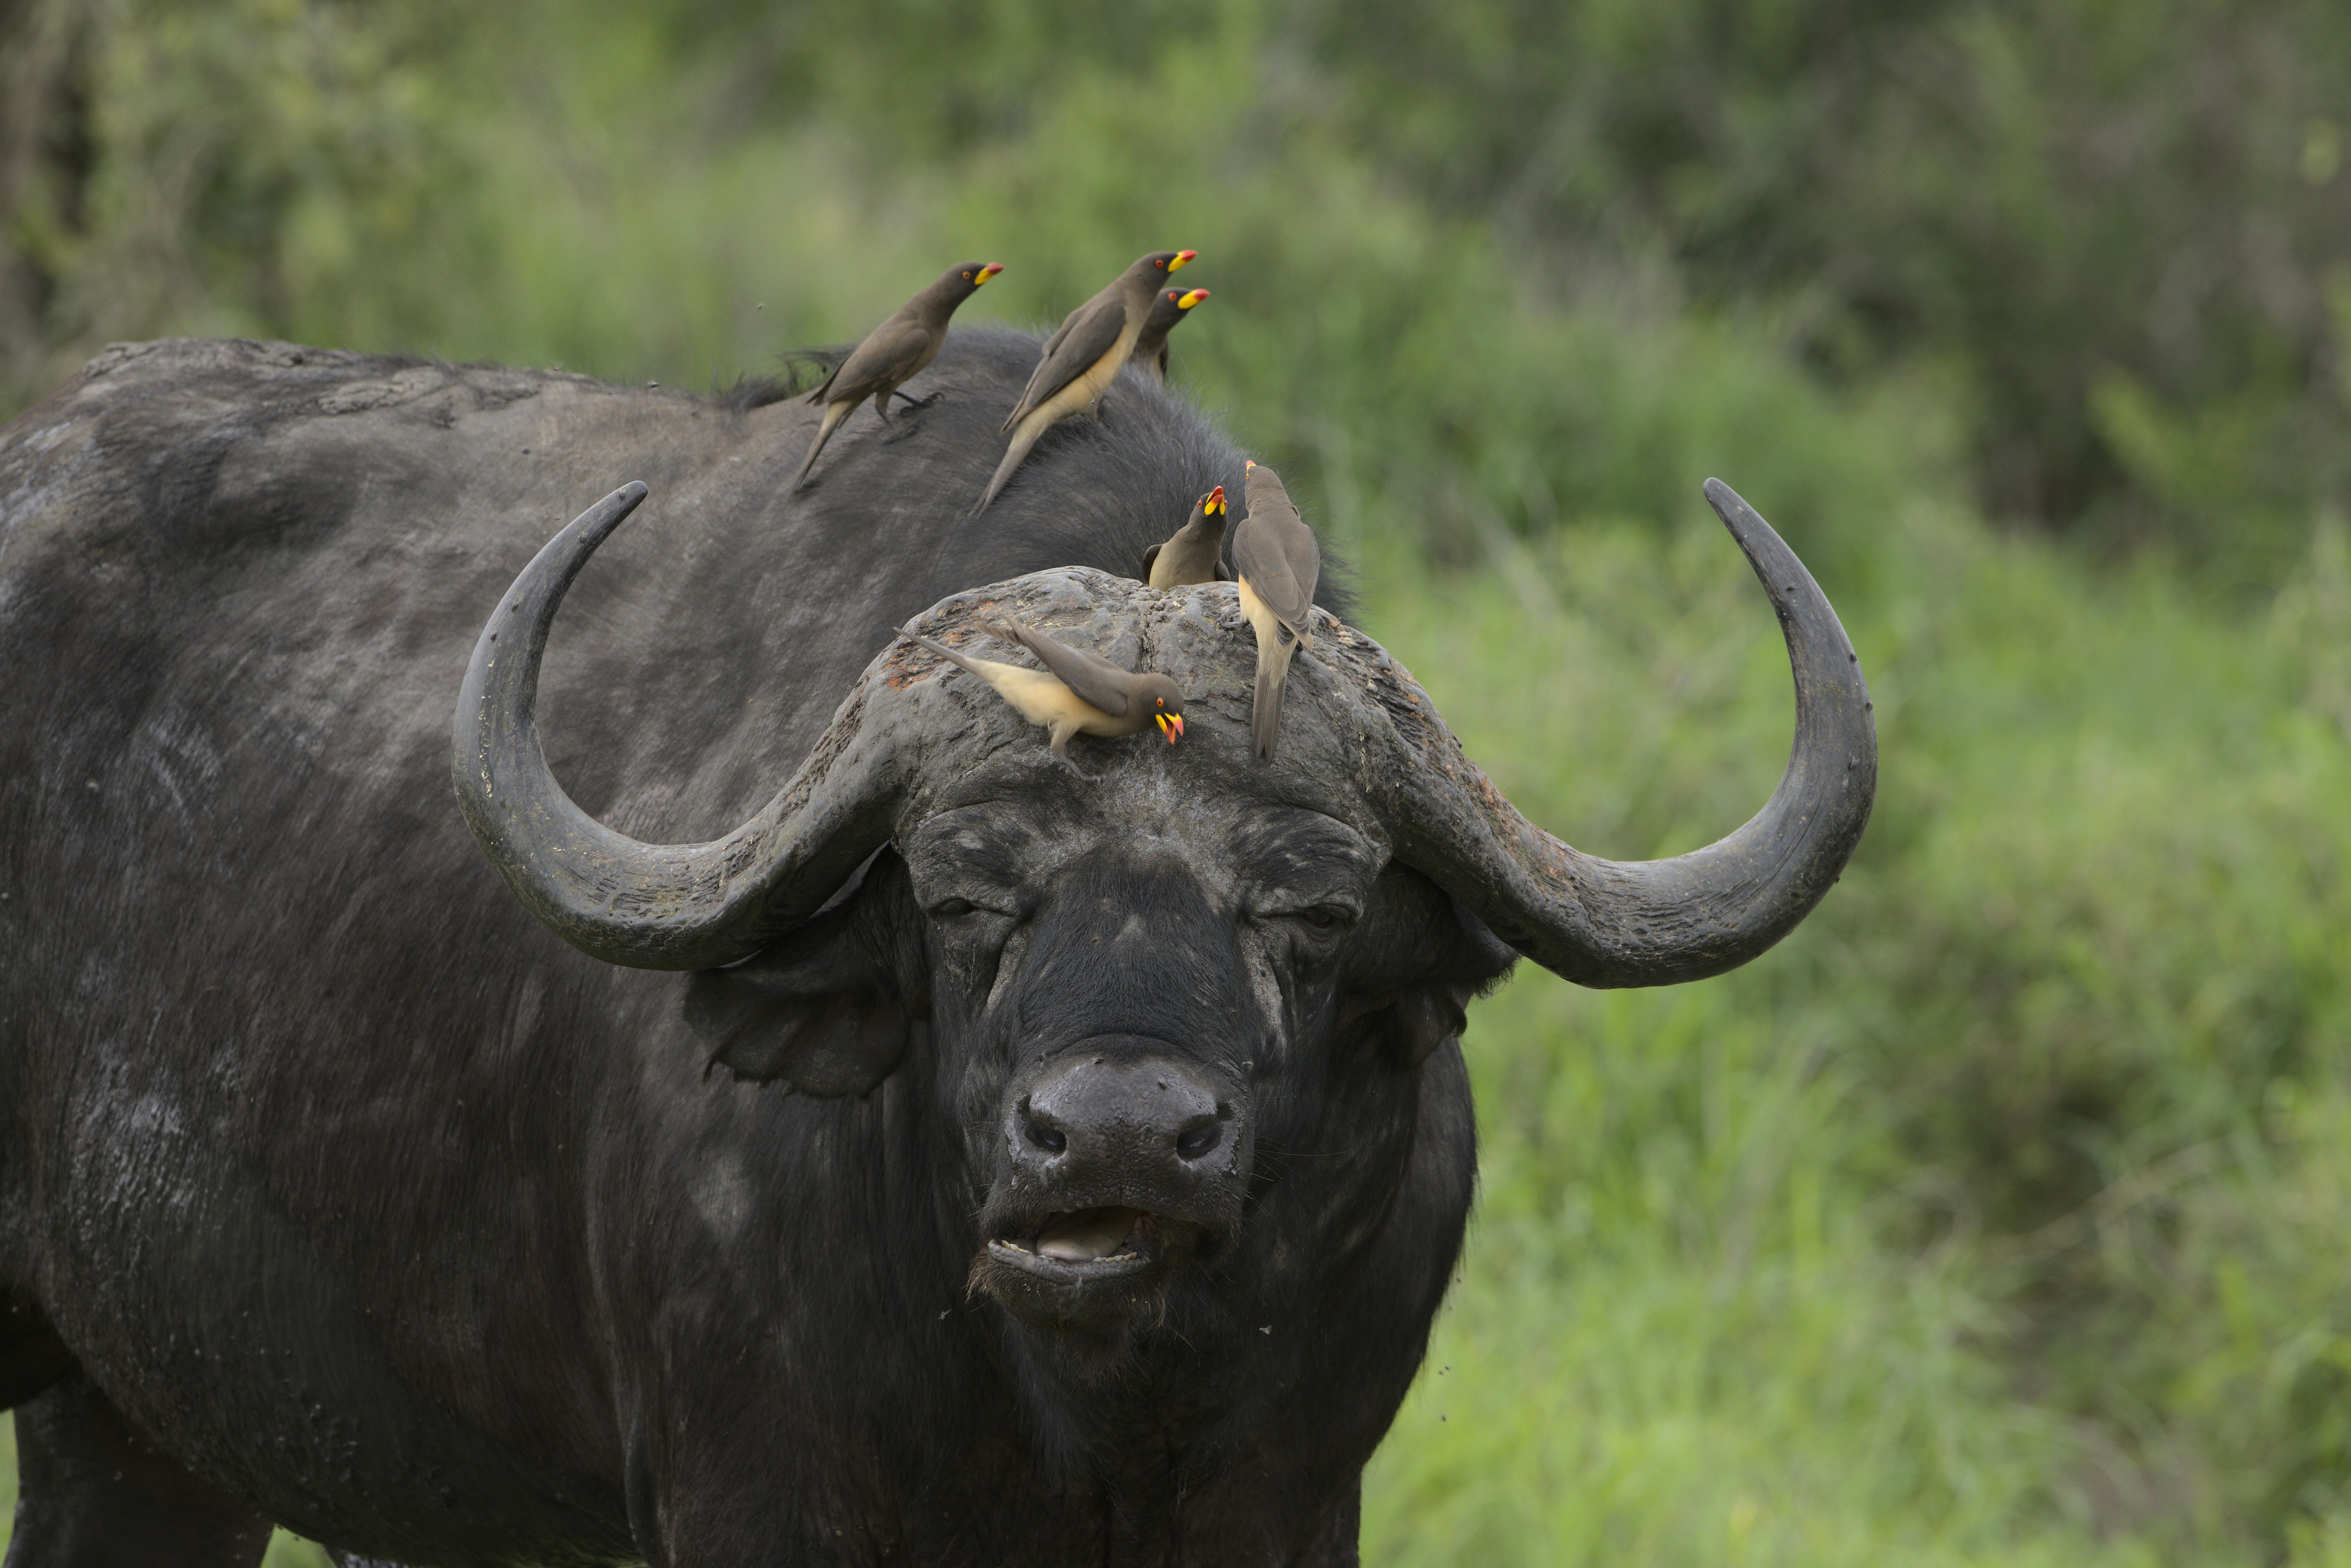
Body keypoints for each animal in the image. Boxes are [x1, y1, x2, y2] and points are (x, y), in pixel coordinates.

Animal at [0, 328, 1873, 1565]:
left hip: (145, 1429)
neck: (1093, 1409)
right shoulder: (758, 1502)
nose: (1118, 1139)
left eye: (1319, 912)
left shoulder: (1296, 1495)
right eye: (964, 897)